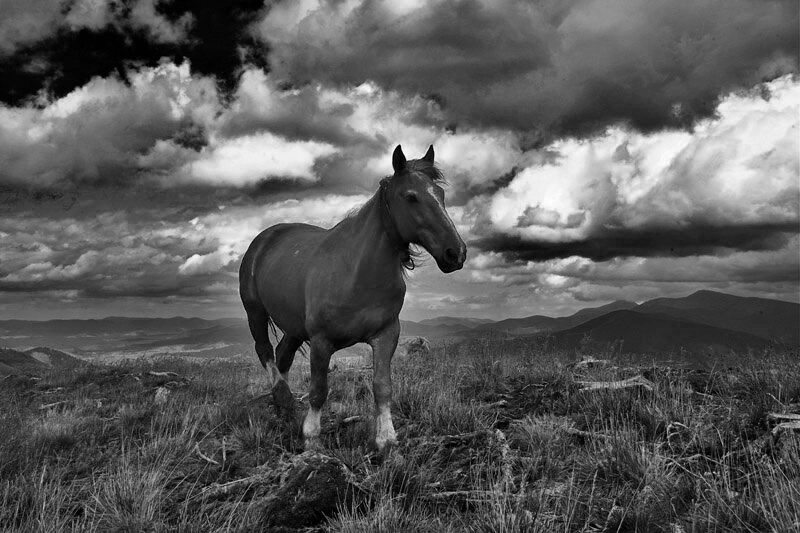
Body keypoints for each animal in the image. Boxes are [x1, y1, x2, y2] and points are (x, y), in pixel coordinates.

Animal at [238, 144, 466, 448]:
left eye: (440, 194)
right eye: (411, 197)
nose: (456, 253)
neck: (357, 273)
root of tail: (265, 238)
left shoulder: (386, 334)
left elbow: (382, 386)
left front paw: (386, 439)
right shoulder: (321, 342)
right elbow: (319, 390)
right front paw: (311, 437)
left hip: (294, 326)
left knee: (282, 354)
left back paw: (283, 408)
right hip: (256, 313)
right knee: (264, 350)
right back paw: (283, 398)